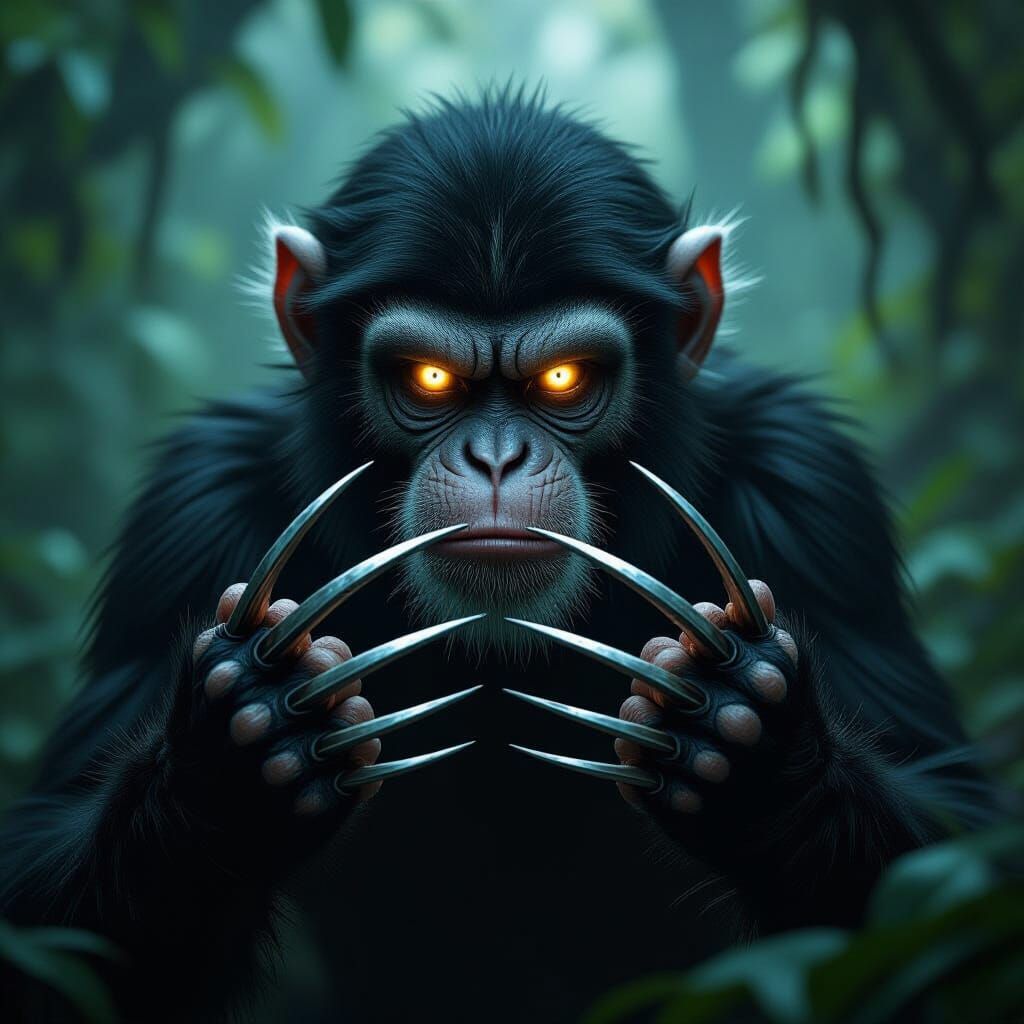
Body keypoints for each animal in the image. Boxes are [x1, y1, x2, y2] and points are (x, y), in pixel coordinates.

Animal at [0, 87, 991, 1023]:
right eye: (430, 378)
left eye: (564, 378)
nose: (497, 458)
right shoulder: (187, 514)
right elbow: (52, 929)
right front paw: (243, 739)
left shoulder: (813, 495)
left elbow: (948, 867)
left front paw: (742, 730)